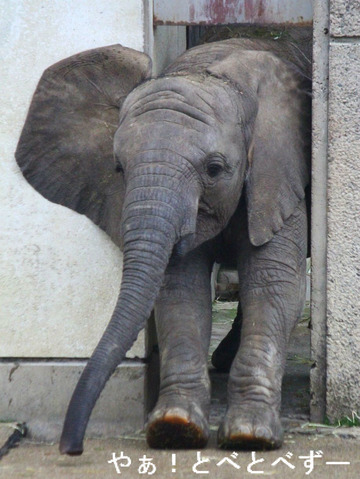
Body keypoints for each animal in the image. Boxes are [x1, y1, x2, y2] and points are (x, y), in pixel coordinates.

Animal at [15, 36, 310, 454]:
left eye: (215, 169)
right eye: (118, 168)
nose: (71, 447)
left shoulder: (278, 172)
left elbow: (275, 281)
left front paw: (250, 434)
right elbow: (180, 288)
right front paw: (174, 427)